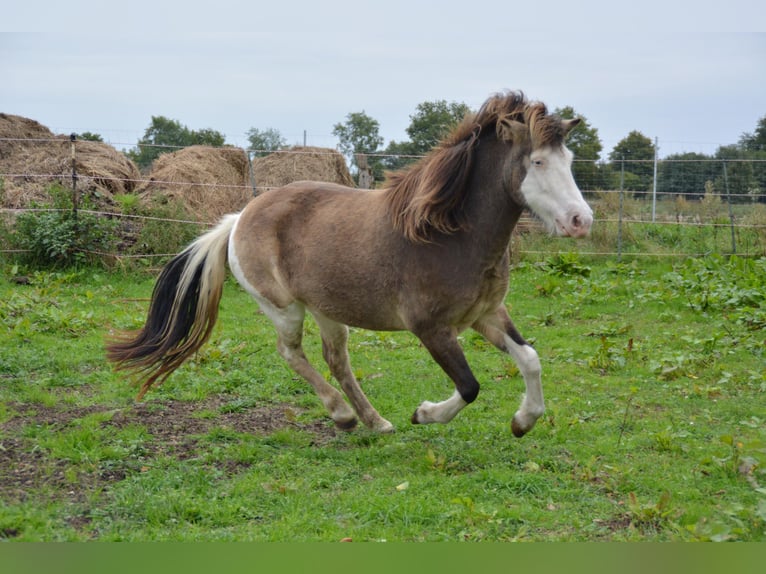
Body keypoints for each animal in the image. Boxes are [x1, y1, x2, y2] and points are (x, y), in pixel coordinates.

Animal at [106, 91, 593, 437]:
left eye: (569, 160)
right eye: (537, 161)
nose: (581, 220)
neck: (449, 233)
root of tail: (239, 217)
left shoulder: (486, 315)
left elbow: (530, 359)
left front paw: (523, 421)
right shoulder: (431, 327)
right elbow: (470, 387)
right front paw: (425, 413)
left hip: (328, 309)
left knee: (336, 360)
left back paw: (373, 420)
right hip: (284, 308)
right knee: (292, 353)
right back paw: (343, 415)